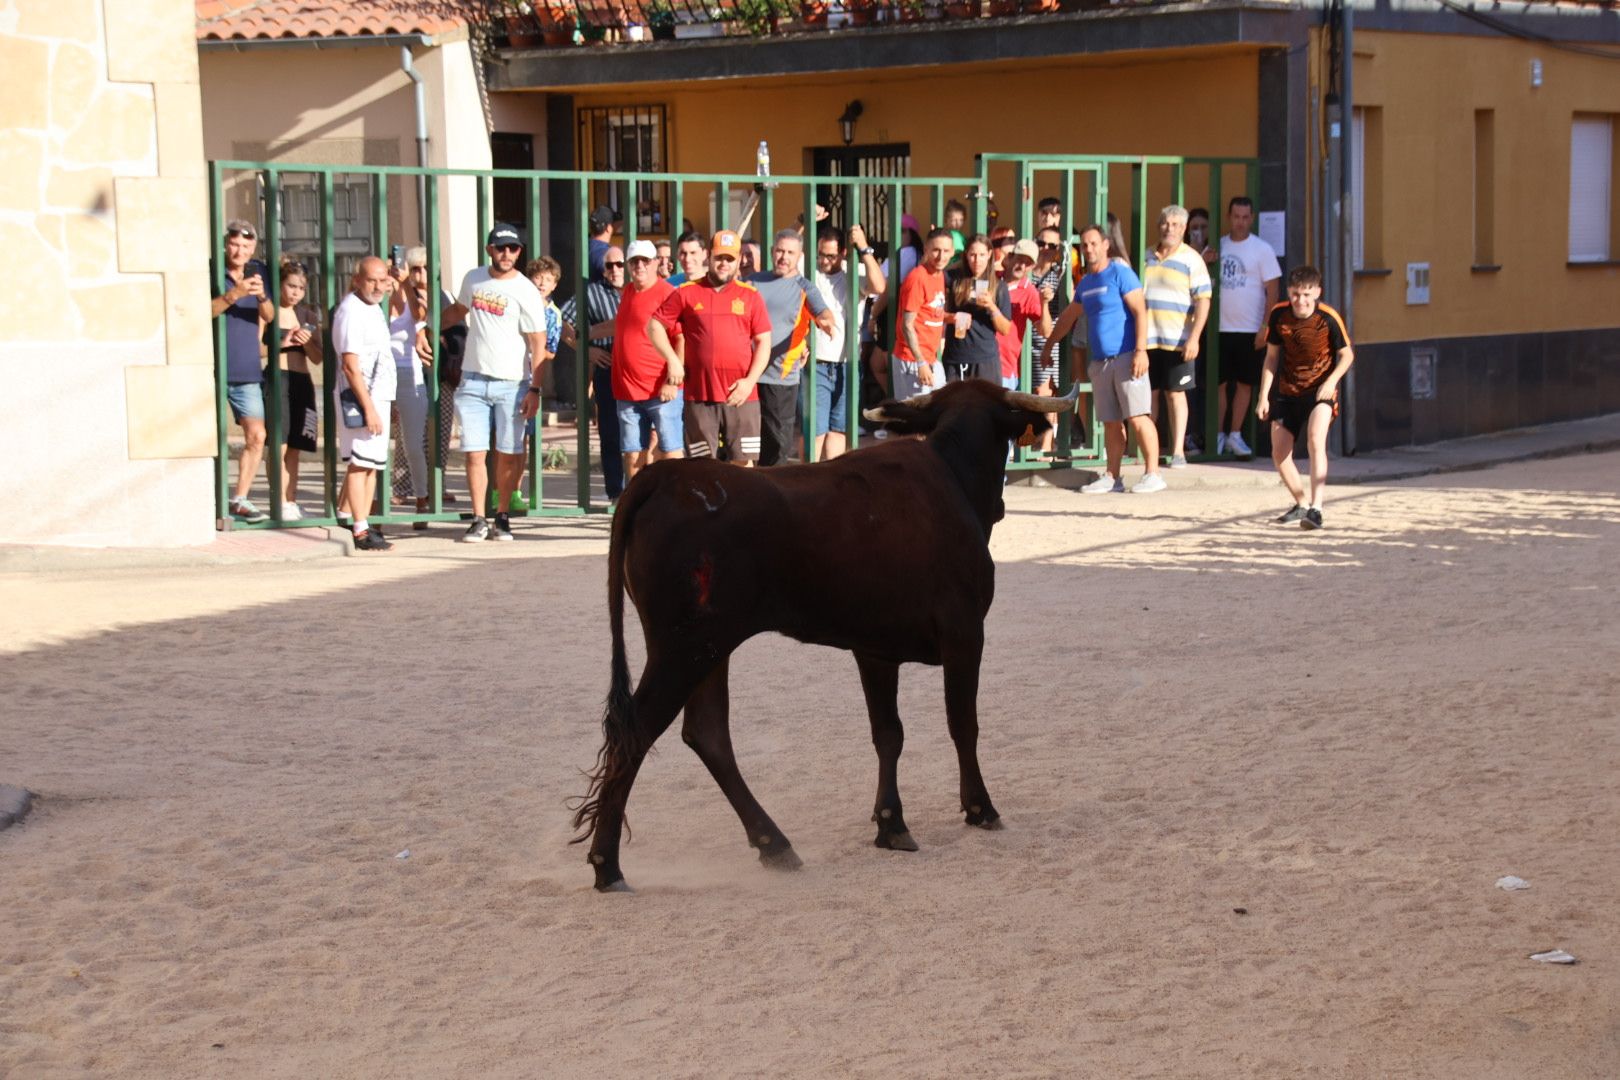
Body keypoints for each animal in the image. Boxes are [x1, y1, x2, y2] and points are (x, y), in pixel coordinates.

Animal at [570, 375, 1075, 893]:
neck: (953, 478)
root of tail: (663, 477)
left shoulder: (875, 649)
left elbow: (888, 733)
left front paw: (891, 823)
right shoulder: (965, 634)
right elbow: (963, 724)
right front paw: (979, 808)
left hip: (709, 647)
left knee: (707, 733)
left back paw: (774, 845)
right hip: (682, 648)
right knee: (637, 732)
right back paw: (607, 864)